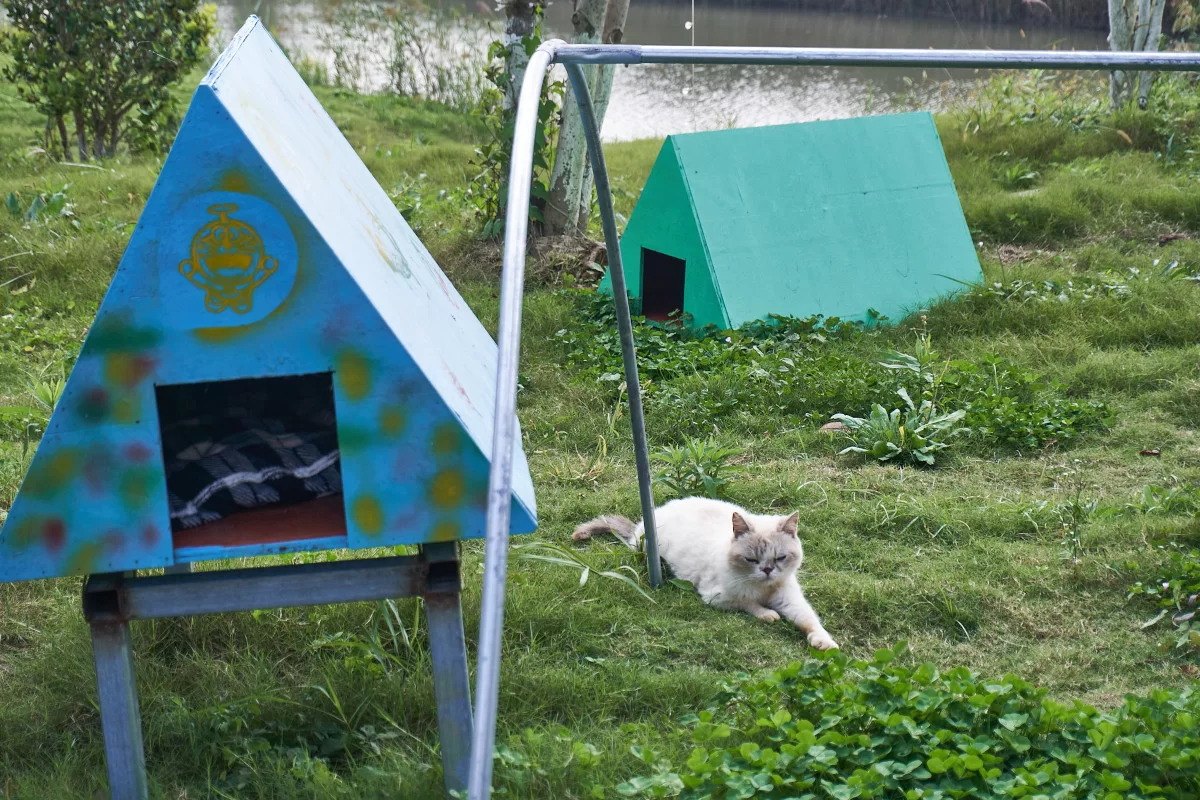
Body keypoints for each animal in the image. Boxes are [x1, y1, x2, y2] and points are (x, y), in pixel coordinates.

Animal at [568, 501, 835, 652]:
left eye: (780, 558)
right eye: (752, 560)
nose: (767, 570)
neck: (763, 589)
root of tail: (642, 522)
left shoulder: (790, 599)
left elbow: (809, 620)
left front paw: (824, 643)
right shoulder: (718, 597)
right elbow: (750, 604)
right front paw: (769, 615)